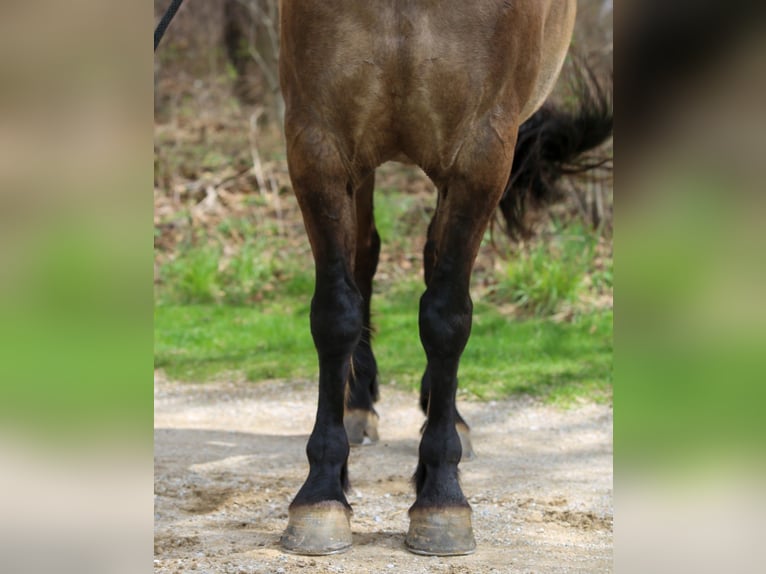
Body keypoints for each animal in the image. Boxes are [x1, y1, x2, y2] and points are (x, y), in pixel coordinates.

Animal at [277, 0, 612, 556]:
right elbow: (335, 314)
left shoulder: (482, 153)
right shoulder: (317, 142)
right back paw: (358, 404)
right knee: (365, 255)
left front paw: (440, 496)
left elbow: (446, 318)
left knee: (433, 262)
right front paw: (321, 493)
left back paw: (446, 415)